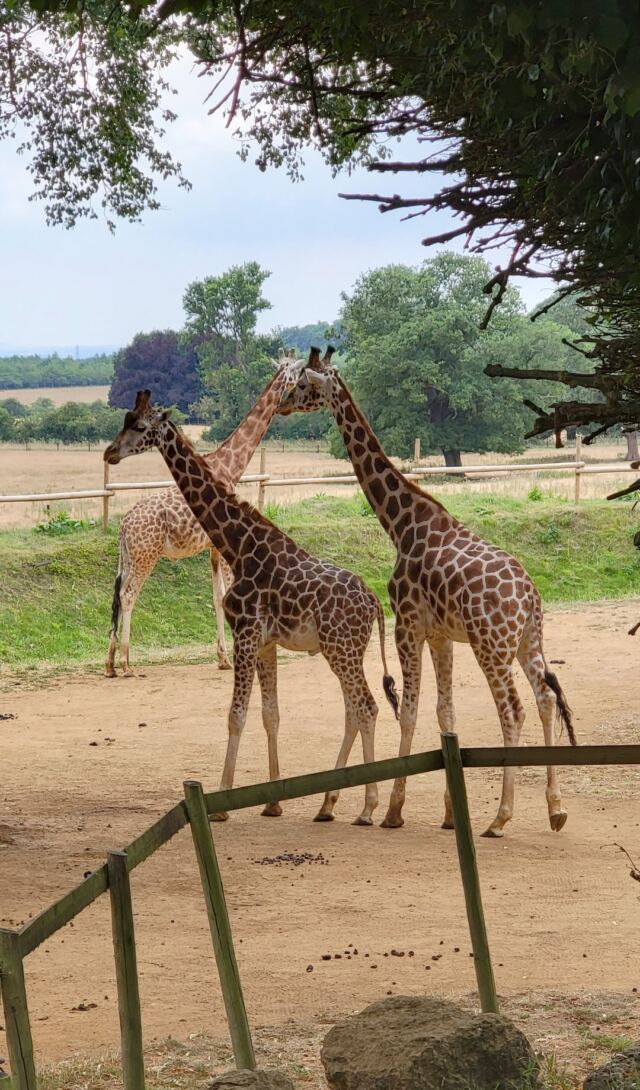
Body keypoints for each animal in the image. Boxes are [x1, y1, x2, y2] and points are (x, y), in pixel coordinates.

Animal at [106, 350, 299, 678]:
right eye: (295, 374)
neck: (231, 466)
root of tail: (123, 526)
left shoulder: (212, 547)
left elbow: (217, 598)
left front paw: (222, 657)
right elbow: (226, 596)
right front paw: (234, 656)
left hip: (130, 557)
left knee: (117, 595)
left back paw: (108, 664)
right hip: (147, 555)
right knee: (129, 595)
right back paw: (126, 663)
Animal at [279, 347, 577, 838]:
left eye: (303, 384)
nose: (283, 404)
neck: (402, 524)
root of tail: (530, 597)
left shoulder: (407, 624)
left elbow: (409, 710)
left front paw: (392, 810)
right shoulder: (440, 635)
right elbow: (445, 712)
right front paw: (448, 812)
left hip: (491, 646)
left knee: (512, 710)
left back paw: (500, 817)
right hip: (527, 641)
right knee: (546, 698)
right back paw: (555, 810)